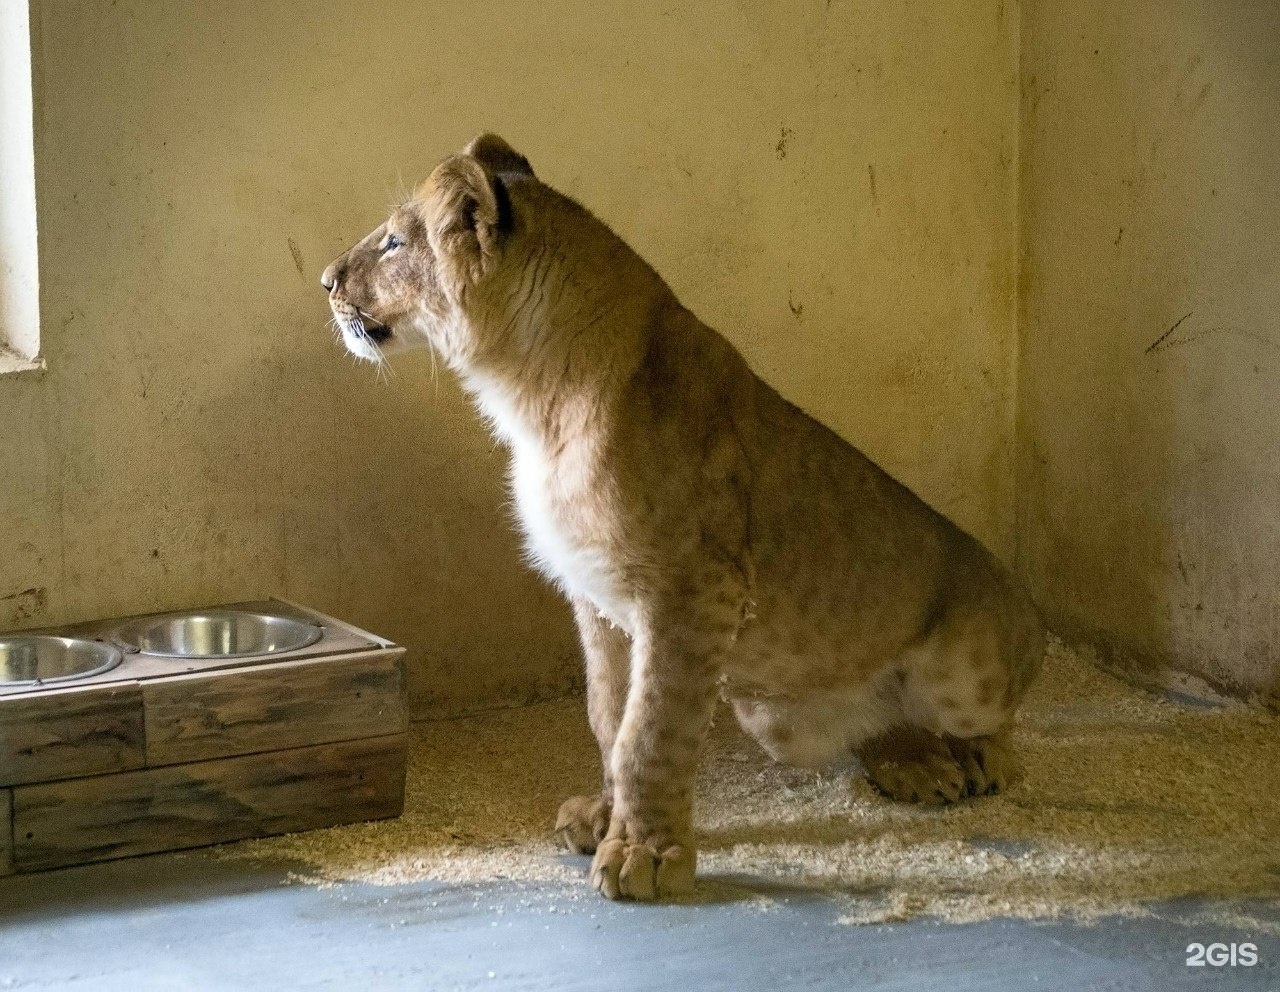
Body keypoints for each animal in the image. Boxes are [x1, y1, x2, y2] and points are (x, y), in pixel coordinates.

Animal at [325, 135, 1044, 906]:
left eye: (395, 242)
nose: (325, 283)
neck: (535, 400)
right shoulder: (596, 598)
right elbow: (608, 716)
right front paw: (602, 820)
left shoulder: (692, 592)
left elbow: (650, 732)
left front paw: (645, 855)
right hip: (772, 715)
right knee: (879, 727)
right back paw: (913, 764)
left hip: (963, 670)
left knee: (991, 717)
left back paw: (974, 759)